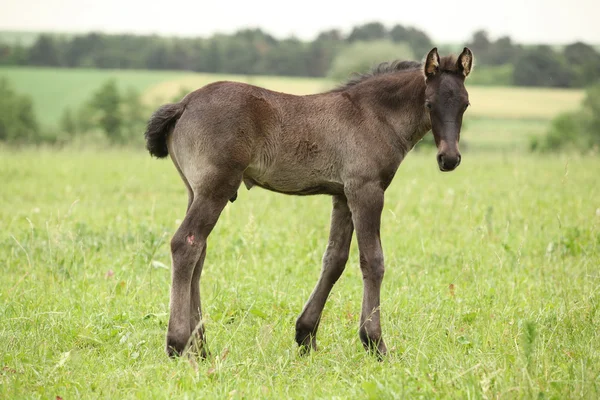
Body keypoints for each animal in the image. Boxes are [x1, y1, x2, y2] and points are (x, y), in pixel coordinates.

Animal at [145, 47, 474, 360]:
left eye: (465, 104)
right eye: (429, 104)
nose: (449, 159)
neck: (374, 115)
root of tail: (184, 103)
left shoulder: (342, 195)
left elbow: (334, 260)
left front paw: (305, 336)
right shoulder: (366, 190)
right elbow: (373, 260)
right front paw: (375, 343)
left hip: (195, 190)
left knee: (199, 251)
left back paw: (201, 348)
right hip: (216, 188)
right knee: (186, 243)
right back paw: (177, 344)